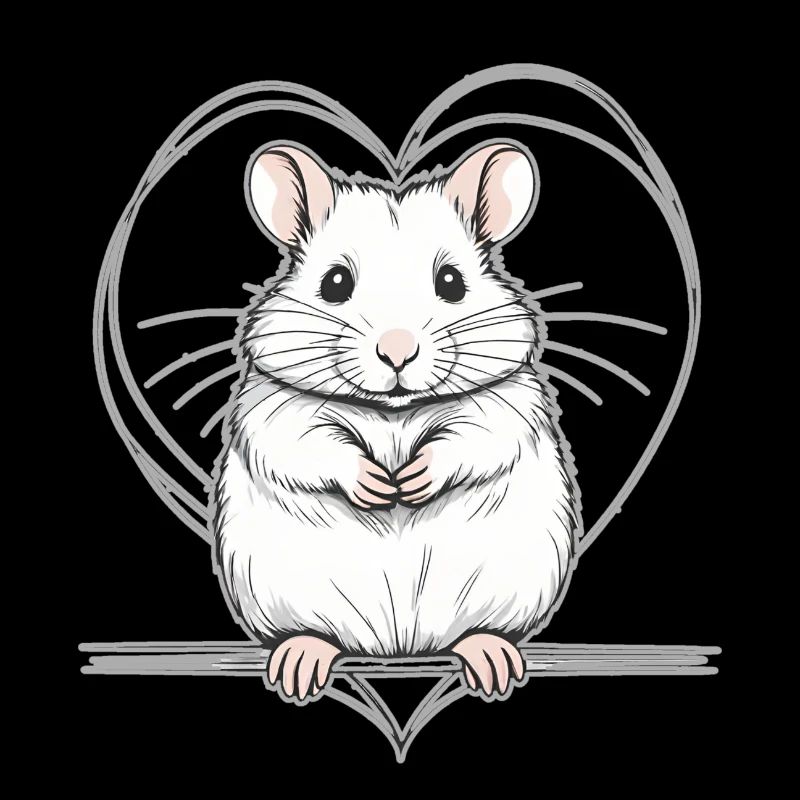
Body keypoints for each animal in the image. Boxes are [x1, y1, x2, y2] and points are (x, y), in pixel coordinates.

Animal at [212, 140, 580, 701]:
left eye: (451, 282)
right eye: (335, 283)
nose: (397, 351)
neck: (394, 413)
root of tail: (400, 647)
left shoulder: (505, 405)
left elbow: (470, 439)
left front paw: (411, 482)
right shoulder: (277, 411)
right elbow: (313, 445)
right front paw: (378, 487)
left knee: (480, 631)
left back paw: (491, 657)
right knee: (313, 634)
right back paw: (300, 660)